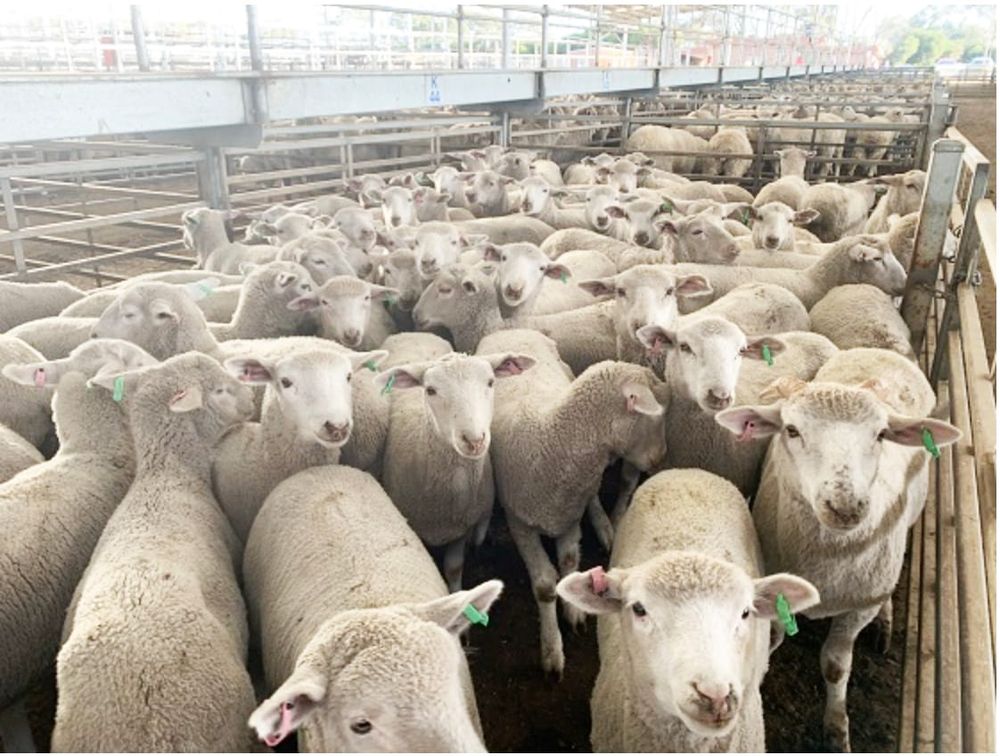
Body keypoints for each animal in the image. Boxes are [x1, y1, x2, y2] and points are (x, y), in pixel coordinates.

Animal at [478, 327, 668, 677]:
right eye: (656, 418)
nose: (659, 458)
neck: (552, 438)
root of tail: (512, 329)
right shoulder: (520, 522)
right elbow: (544, 586)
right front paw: (552, 650)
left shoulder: (567, 515)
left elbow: (568, 564)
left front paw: (573, 612)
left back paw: (604, 525)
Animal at [714, 349, 960, 751]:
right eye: (791, 430)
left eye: (881, 434)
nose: (846, 507)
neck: (824, 562)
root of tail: (879, 350)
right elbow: (775, 640)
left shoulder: (859, 605)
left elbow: (835, 665)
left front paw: (836, 730)